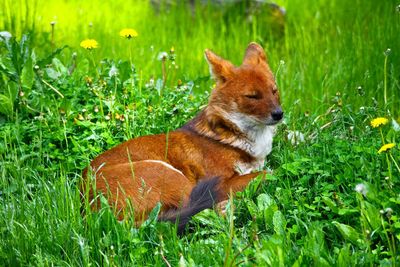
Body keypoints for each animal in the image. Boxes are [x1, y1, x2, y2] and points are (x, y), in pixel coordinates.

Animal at [82, 42, 282, 232]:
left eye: (274, 90)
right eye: (252, 96)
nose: (279, 114)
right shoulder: (221, 182)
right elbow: (268, 172)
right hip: (171, 175)